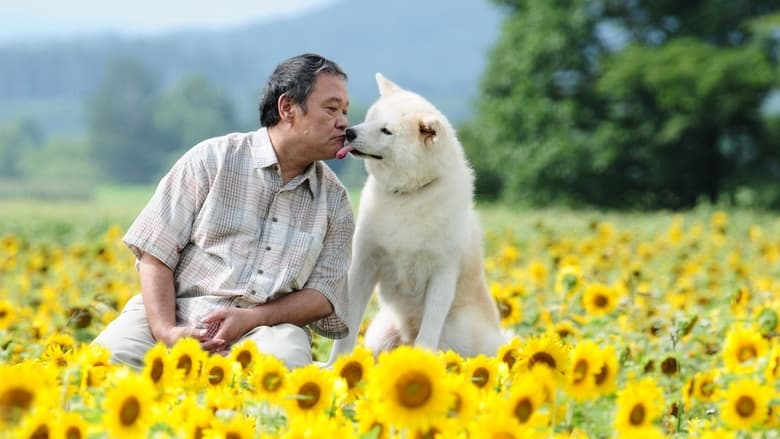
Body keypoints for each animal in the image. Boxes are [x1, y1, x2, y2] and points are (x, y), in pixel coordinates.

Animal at [328, 74, 500, 364]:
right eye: (370, 118)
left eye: (386, 131)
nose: (349, 132)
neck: (409, 195)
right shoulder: (364, 263)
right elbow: (347, 327)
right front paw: (334, 365)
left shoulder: (442, 272)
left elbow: (428, 334)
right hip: (380, 332)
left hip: (460, 330)